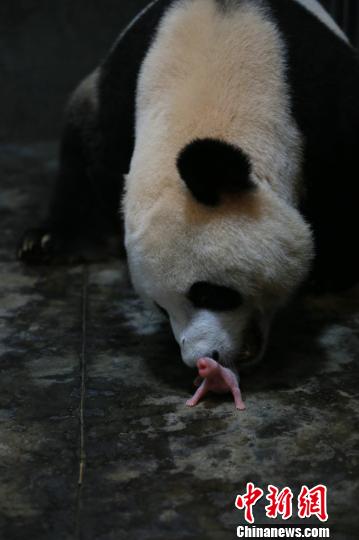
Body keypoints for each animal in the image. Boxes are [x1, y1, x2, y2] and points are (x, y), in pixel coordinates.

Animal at [18, 0, 358, 370]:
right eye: (160, 307)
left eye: (210, 293)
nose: (201, 359)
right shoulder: (119, 102)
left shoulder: (322, 96)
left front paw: (328, 271)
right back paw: (47, 242)